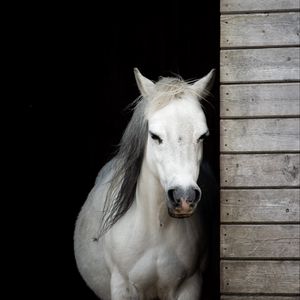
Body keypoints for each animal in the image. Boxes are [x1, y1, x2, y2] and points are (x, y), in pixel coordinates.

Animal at [75, 68, 216, 300]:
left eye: (202, 136)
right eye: (154, 136)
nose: (184, 197)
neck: (157, 229)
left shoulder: (189, 286)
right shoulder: (123, 288)